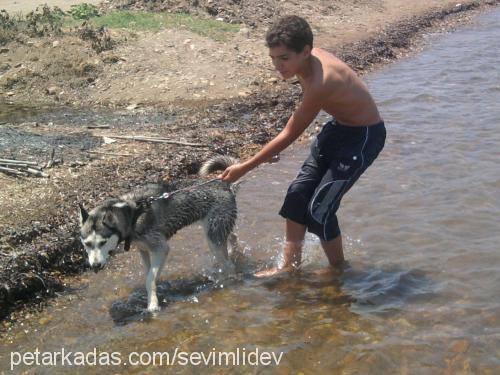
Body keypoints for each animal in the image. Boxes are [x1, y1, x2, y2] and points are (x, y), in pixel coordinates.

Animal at [79, 156, 239, 312]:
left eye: (102, 242)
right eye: (87, 244)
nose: (95, 266)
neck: (131, 214)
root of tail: (225, 185)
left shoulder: (161, 248)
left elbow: (150, 278)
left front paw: (152, 305)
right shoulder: (143, 249)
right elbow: (150, 273)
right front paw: (154, 291)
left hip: (213, 238)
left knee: (229, 265)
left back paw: (225, 280)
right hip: (217, 230)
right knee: (232, 236)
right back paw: (233, 251)